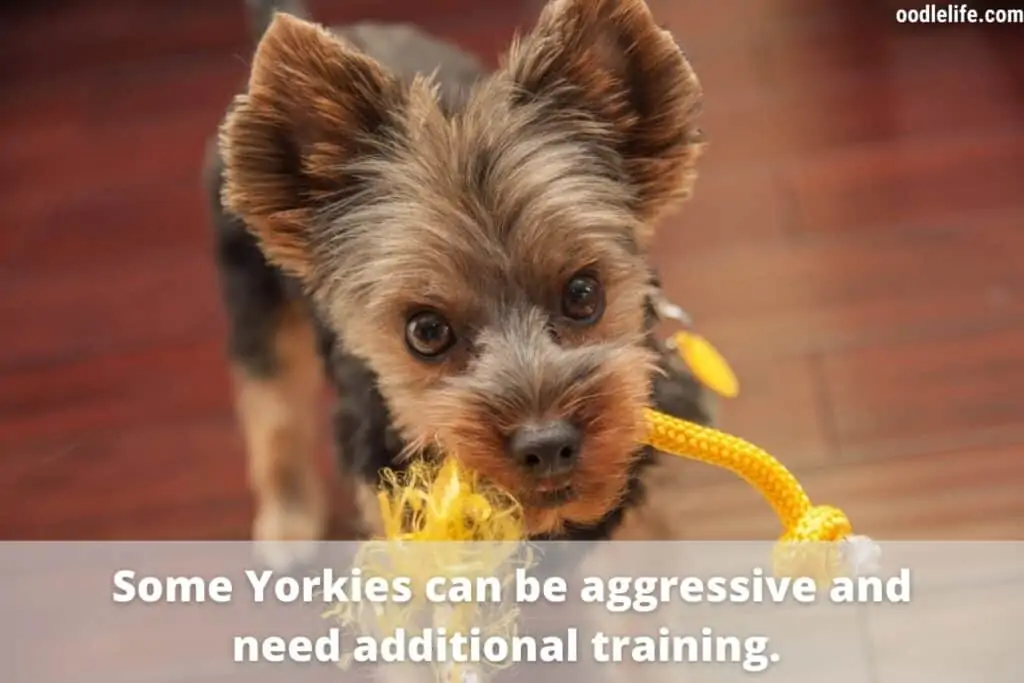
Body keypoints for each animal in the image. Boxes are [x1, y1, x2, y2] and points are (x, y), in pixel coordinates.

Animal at [200, 0, 712, 569]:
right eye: (426, 332)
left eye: (583, 294)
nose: (546, 444)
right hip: (253, 292)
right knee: (273, 406)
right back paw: (287, 522)